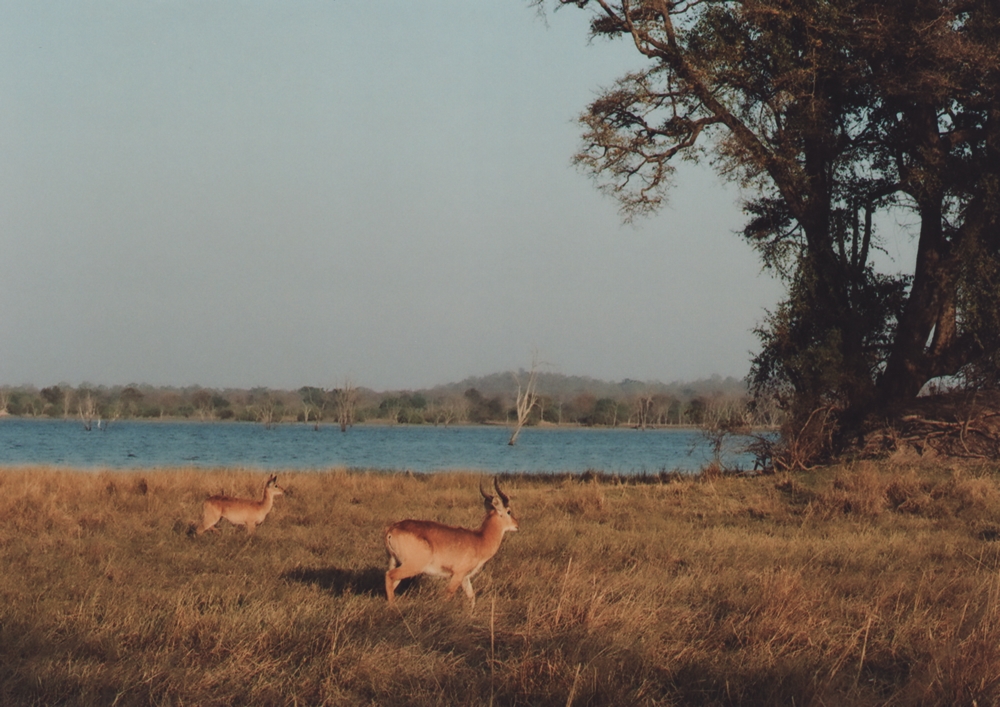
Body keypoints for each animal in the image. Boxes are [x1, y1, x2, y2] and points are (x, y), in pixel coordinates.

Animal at [384, 478, 520, 612]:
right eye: (508, 511)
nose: (517, 525)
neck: (480, 539)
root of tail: (392, 529)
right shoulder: (457, 575)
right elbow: (448, 594)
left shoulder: (465, 577)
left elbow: (472, 597)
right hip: (413, 566)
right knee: (389, 576)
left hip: (396, 562)